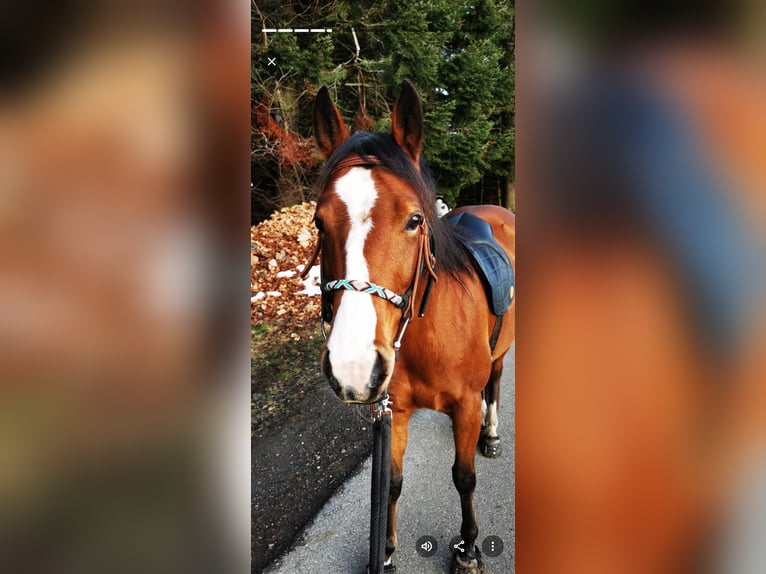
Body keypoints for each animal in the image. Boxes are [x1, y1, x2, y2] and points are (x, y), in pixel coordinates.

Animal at [307, 80, 515, 574]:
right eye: (319, 222)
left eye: (414, 220)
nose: (352, 365)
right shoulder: (394, 411)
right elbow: (393, 483)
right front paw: (383, 551)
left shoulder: (462, 405)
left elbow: (464, 477)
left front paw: (469, 549)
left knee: (495, 381)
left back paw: (492, 432)